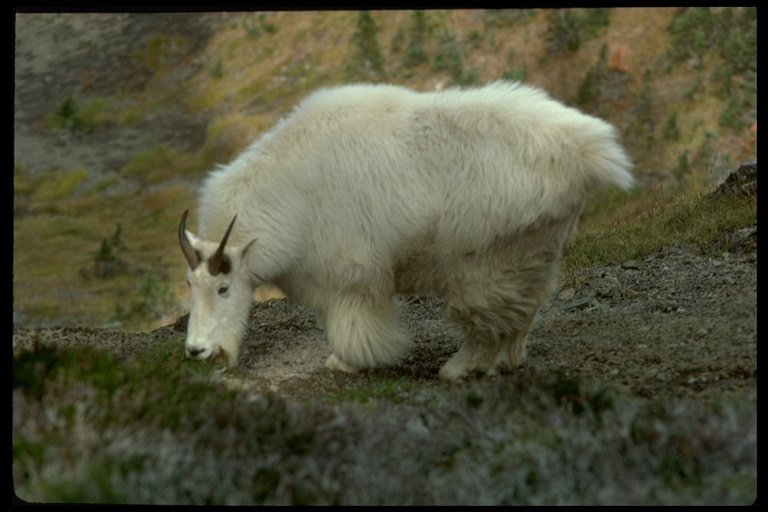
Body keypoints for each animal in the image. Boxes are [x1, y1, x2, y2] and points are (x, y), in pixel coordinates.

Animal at [178, 81, 632, 380]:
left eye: (224, 288)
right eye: (190, 285)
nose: (198, 350)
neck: (289, 194)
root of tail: (590, 151)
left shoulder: (352, 276)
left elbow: (355, 324)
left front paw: (346, 361)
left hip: (487, 262)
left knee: (487, 319)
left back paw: (458, 368)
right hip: (533, 254)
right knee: (521, 313)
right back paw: (504, 362)